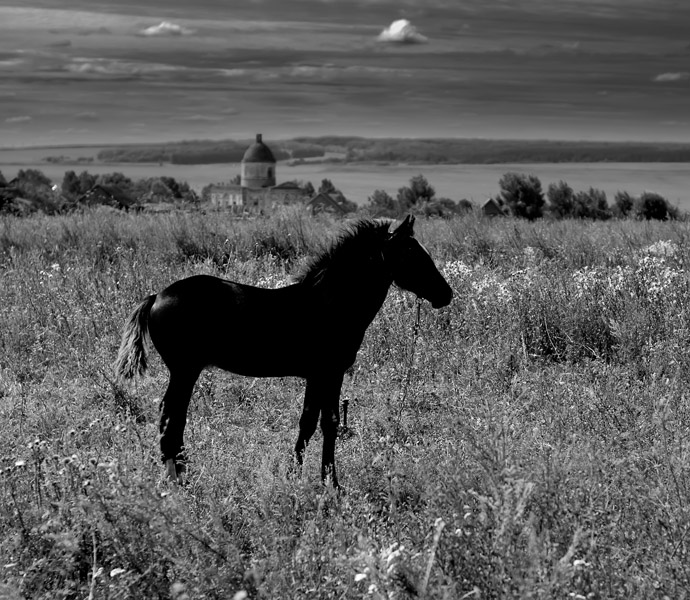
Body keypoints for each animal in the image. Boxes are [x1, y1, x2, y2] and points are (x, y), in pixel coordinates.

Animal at [114, 216, 452, 488]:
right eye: (411, 253)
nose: (445, 293)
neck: (331, 304)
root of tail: (156, 296)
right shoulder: (330, 372)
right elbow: (328, 423)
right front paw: (331, 483)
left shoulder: (316, 376)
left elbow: (308, 422)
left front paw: (296, 475)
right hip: (185, 370)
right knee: (171, 418)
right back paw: (177, 478)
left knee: (173, 417)